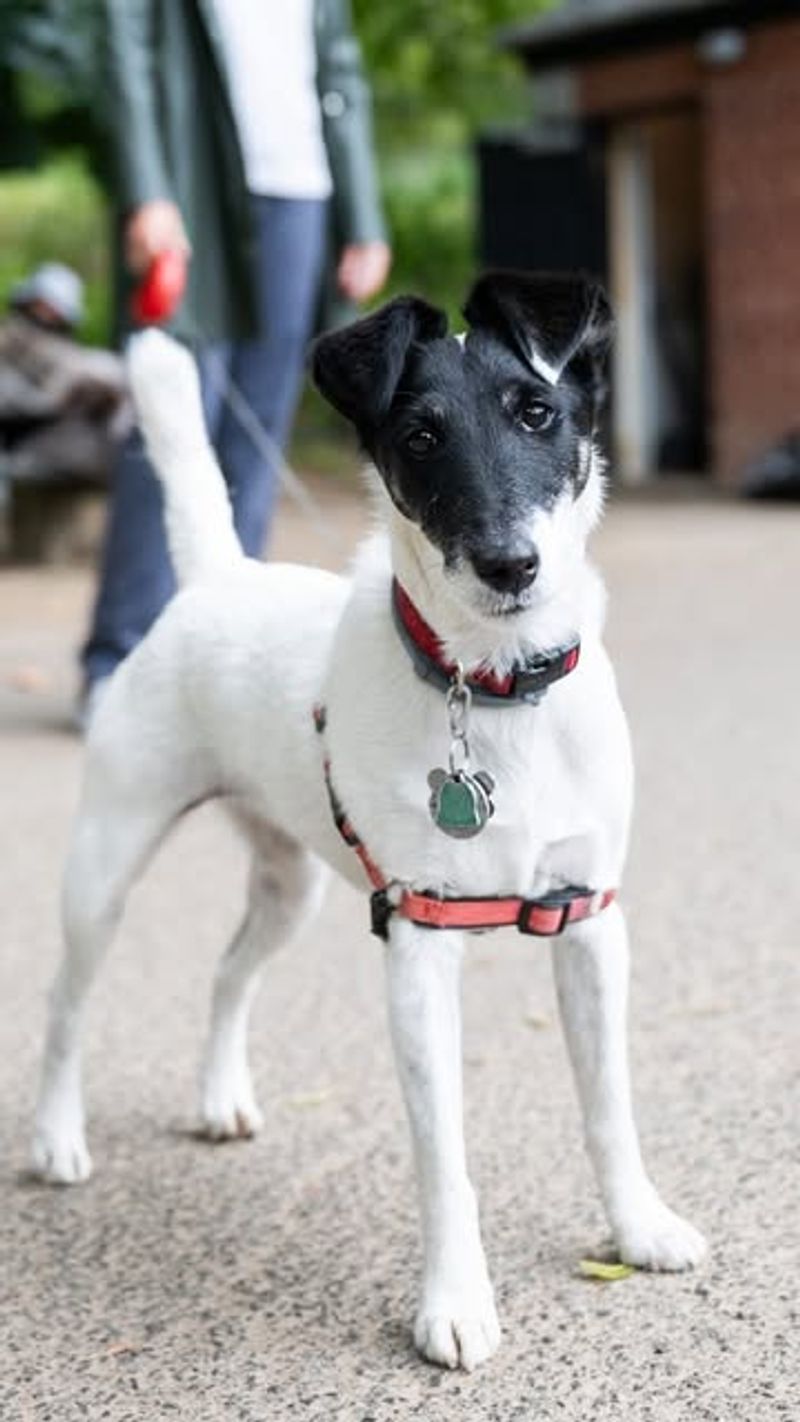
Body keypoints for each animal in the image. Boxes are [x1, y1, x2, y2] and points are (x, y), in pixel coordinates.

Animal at [32, 271, 707, 1370]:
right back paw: (55, 1136)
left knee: (227, 974)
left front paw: (636, 1226)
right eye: (421, 437)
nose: (508, 565)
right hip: (105, 864)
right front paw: (455, 1301)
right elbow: (444, 1162)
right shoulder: (421, 943)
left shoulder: (588, 923)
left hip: (289, 886)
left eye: (537, 413)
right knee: (66, 1004)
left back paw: (218, 1097)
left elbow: (610, 1109)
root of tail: (221, 574)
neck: (493, 689)